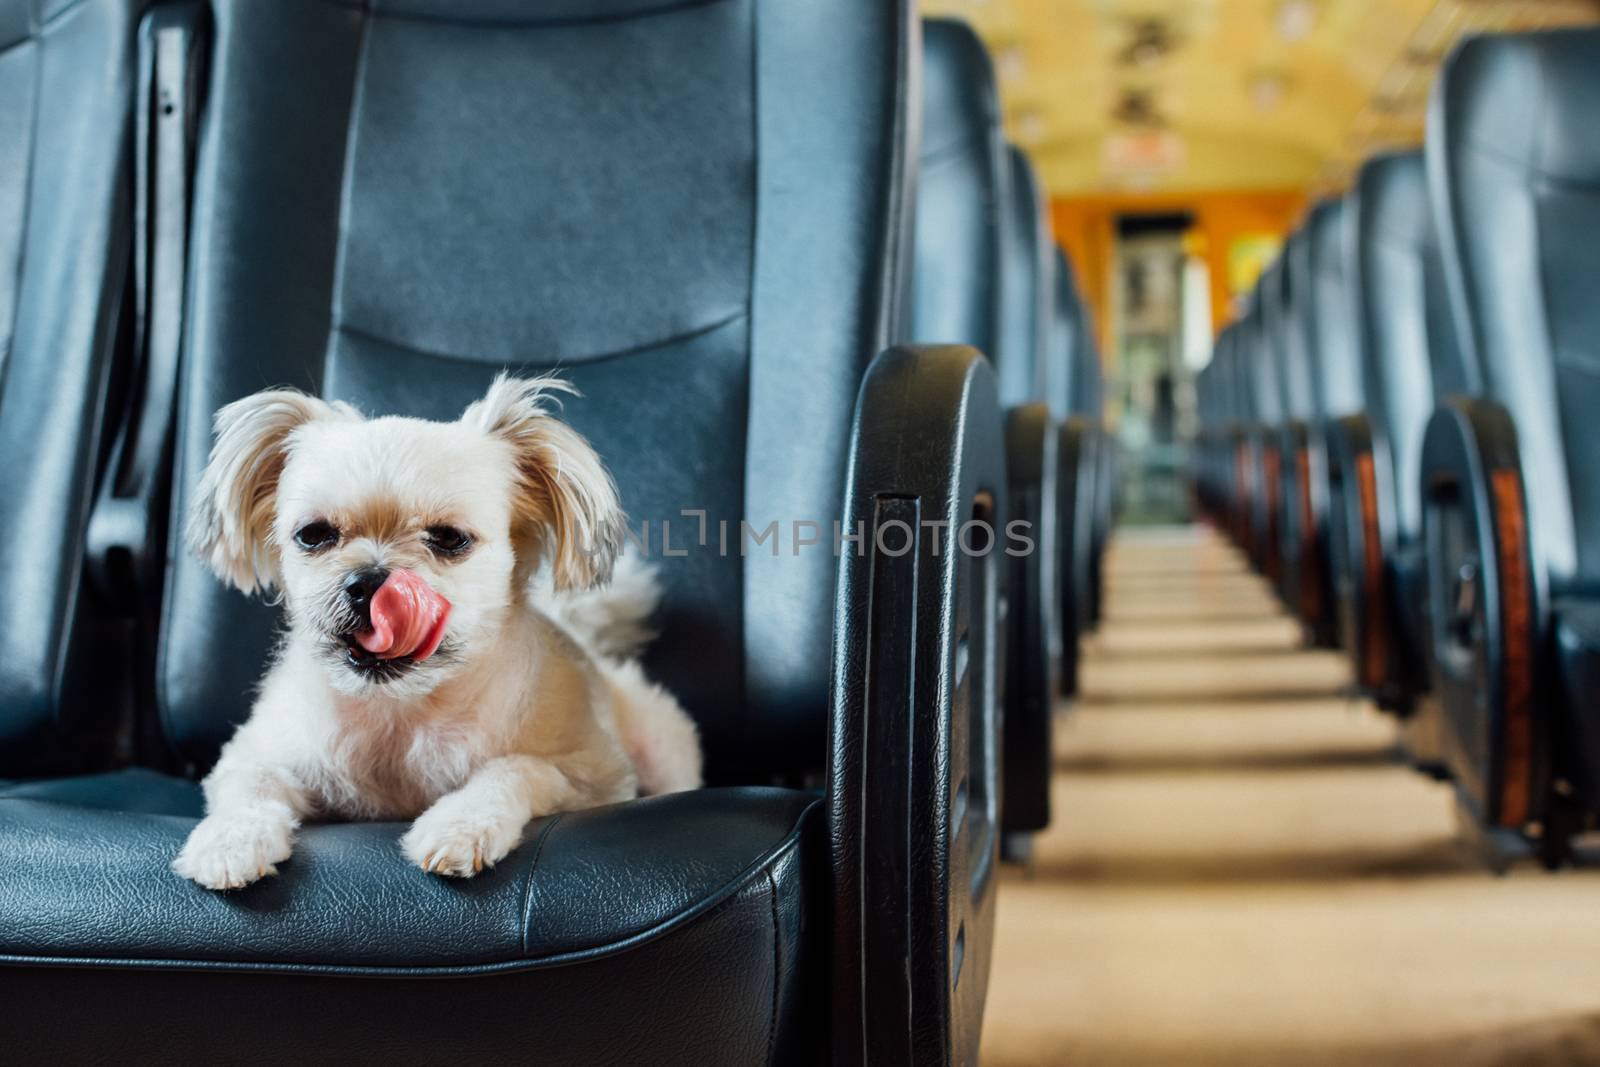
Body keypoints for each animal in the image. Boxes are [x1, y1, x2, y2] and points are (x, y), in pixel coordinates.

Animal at [172, 371, 704, 889]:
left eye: (449, 539)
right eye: (314, 534)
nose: (368, 581)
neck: (402, 712)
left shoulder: (594, 777)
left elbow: (518, 767)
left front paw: (461, 824)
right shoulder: (253, 754)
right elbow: (251, 786)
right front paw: (230, 840)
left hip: (662, 750)